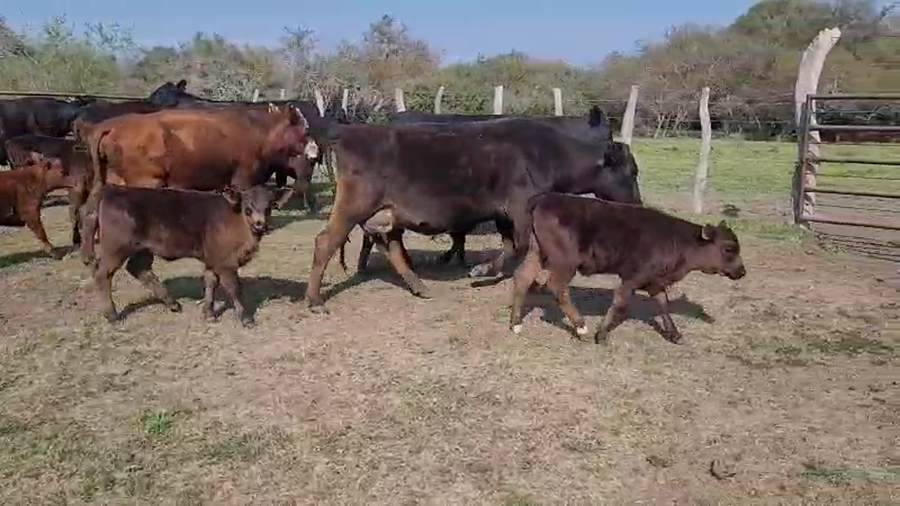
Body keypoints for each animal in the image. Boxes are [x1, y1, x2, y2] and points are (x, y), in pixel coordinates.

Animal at [82, 185, 287, 326]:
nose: (261, 225)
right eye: (248, 207)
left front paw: (208, 313)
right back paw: (112, 315)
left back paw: (173, 304)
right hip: (115, 249)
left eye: (270, 206)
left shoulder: (212, 260)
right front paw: (245, 318)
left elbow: (211, 283)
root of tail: (110, 189)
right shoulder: (226, 263)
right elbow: (234, 288)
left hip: (142, 249)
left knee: (139, 270)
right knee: (102, 274)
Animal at [304, 117, 642, 313]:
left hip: (384, 215)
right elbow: (519, 245)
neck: (547, 153)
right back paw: (315, 300)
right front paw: (482, 271)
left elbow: (514, 245)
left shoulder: (505, 214)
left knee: (393, 249)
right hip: (353, 207)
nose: (638, 204)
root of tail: (349, 131)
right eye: (633, 171)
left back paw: (420, 287)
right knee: (324, 243)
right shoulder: (520, 206)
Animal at [509, 192, 746, 344]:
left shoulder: (654, 281)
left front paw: (674, 335)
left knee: (522, 277)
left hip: (536, 252)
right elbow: (620, 304)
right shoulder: (633, 277)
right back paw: (581, 327)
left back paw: (515, 324)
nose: (742, 271)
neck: (678, 241)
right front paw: (601, 334)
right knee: (557, 286)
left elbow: (663, 305)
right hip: (565, 262)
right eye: (728, 248)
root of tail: (545, 198)